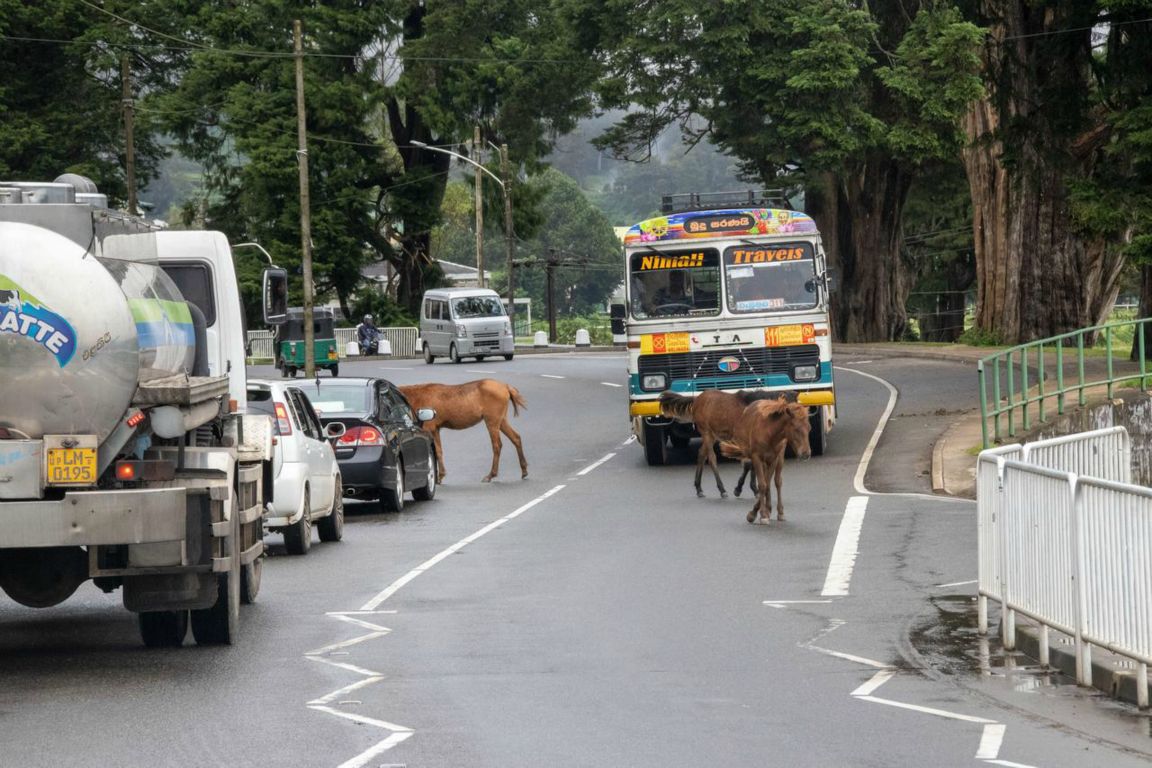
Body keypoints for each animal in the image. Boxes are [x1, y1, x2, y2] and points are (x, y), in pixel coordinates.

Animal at [398, 379, 527, 483]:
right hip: (501, 419)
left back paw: (491, 475)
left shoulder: (429, 427)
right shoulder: (436, 428)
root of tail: (506, 387)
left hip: (492, 420)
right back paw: (524, 470)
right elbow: (439, 451)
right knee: (516, 437)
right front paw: (440, 476)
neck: (413, 399)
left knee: (497, 445)